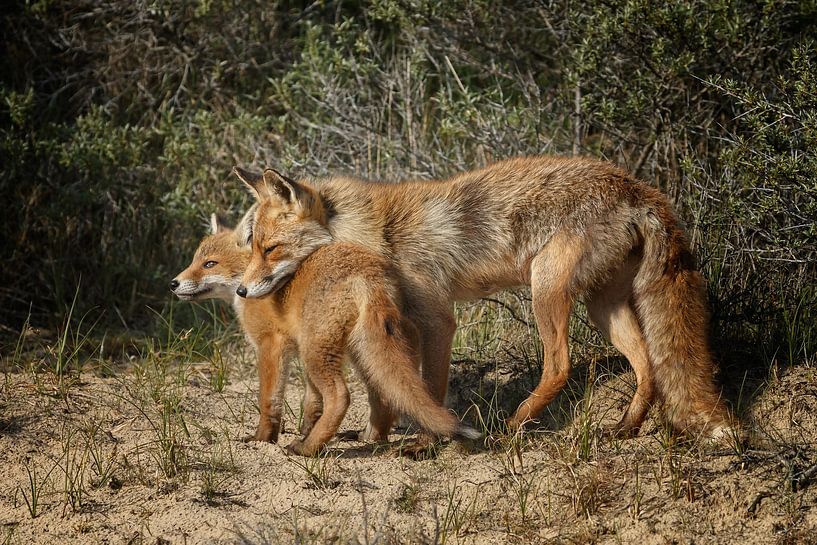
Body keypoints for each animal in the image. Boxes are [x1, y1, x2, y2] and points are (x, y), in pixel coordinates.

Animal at [171, 215, 478, 452]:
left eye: (210, 264)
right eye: (195, 260)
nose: (173, 283)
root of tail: (369, 276)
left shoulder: (271, 345)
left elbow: (269, 401)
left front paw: (262, 440)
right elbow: (312, 402)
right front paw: (306, 430)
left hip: (317, 351)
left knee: (341, 396)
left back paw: (309, 449)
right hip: (358, 349)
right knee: (382, 394)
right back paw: (369, 438)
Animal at [234, 154, 732, 442]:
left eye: (270, 249)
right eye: (251, 245)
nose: (241, 289)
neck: (381, 237)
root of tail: (637, 186)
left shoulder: (437, 319)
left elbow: (429, 388)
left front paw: (426, 444)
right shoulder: (401, 320)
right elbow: (391, 389)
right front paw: (379, 438)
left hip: (545, 287)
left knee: (560, 365)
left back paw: (515, 426)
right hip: (601, 306)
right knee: (648, 364)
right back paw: (626, 427)